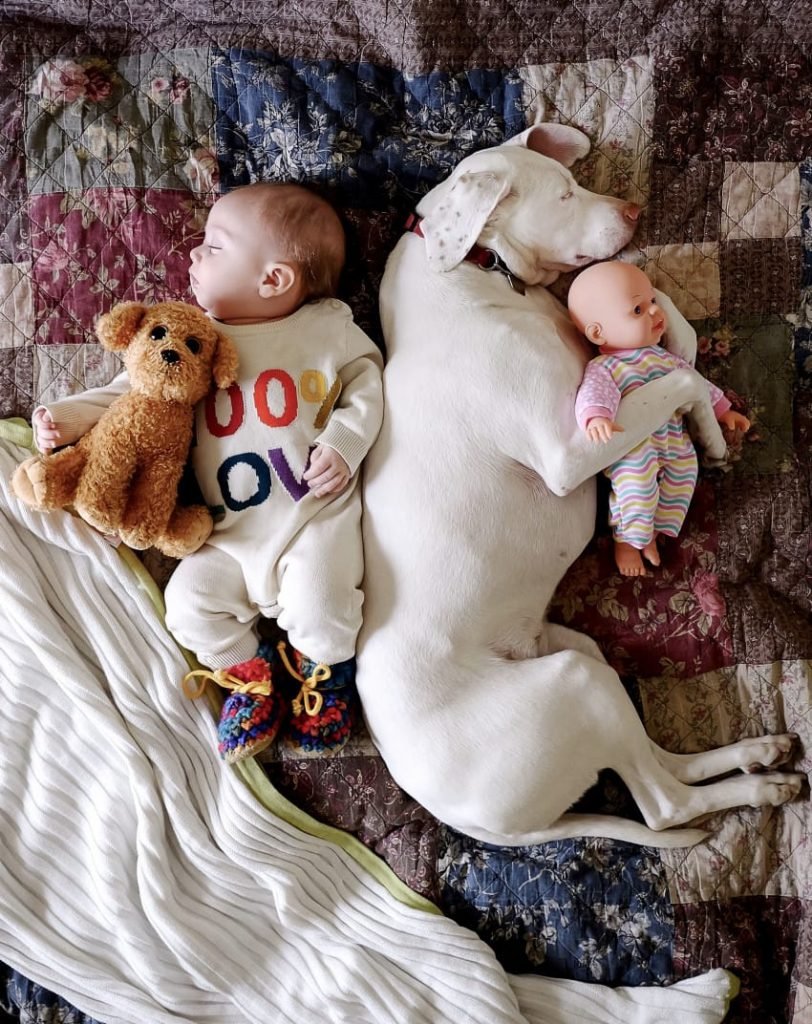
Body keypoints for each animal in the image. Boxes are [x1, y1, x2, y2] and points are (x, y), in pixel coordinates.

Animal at [356, 123, 802, 847]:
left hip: (581, 655)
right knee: (663, 804)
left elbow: (671, 329)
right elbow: (676, 378)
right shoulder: (568, 449)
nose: (633, 211)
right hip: (575, 682)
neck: (483, 272)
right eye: (565, 195)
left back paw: (757, 754)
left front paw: (683, 353)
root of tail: (463, 818)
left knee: (661, 762)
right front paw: (708, 428)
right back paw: (759, 787)